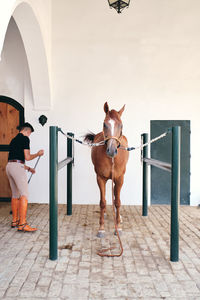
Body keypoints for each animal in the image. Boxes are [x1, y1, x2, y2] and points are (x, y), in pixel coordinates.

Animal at [83, 102, 129, 238]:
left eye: (121, 125)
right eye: (104, 124)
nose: (112, 150)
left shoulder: (119, 179)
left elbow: (118, 201)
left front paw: (118, 227)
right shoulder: (100, 178)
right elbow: (102, 202)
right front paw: (101, 228)